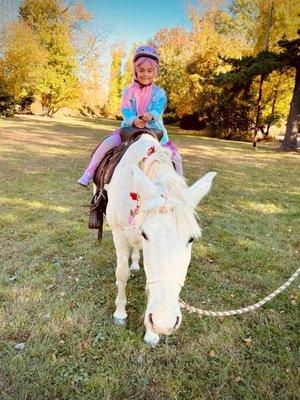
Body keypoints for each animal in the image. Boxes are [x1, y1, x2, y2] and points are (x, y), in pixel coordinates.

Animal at [105, 134, 216, 344]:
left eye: (191, 239)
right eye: (145, 234)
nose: (164, 323)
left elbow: (150, 286)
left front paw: (151, 333)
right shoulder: (119, 233)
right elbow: (121, 274)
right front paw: (120, 313)